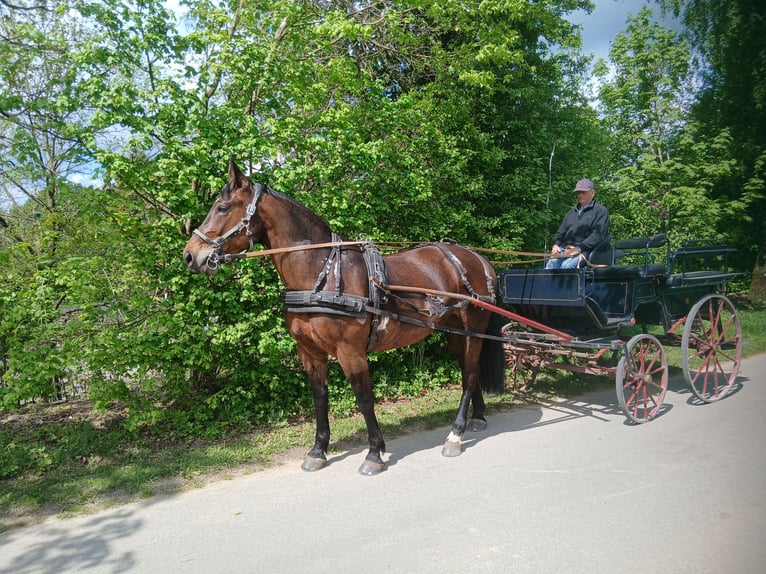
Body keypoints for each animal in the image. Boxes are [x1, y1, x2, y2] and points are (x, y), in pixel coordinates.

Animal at [183, 160, 505, 475]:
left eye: (223, 208)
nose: (190, 255)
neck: (321, 273)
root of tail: (478, 259)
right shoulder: (309, 352)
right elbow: (319, 398)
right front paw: (318, 451)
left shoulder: (350, 351)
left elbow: (364, 399)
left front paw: (374, 454)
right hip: (455, 332)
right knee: (469, 372)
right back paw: (477, 418)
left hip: (472, 330)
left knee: (470, 375)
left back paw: (455, 435)